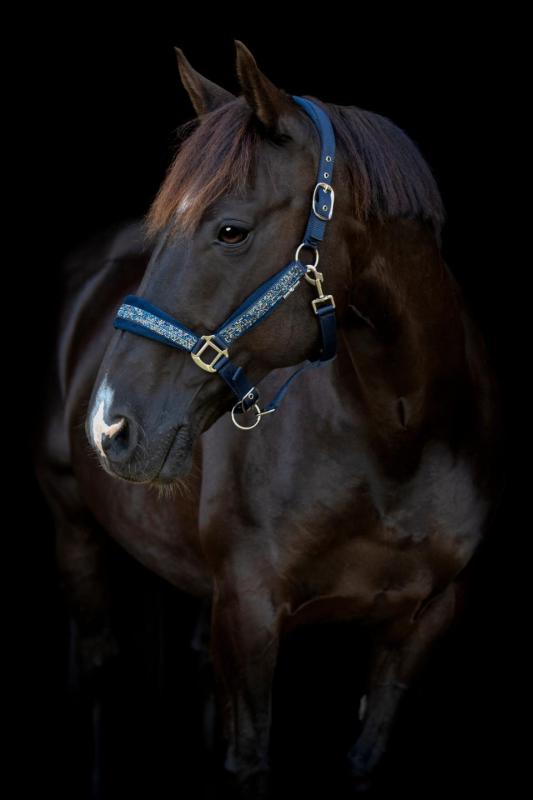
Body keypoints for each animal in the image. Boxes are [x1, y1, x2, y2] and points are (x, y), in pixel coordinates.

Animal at [34, 40, 504, 798]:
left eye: (231, 230)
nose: (110, 427)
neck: (396, 438)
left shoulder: (420, 624)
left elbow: (362, 755)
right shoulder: (249, 612)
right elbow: (248, 757)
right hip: (75, 527)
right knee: (101, 672)